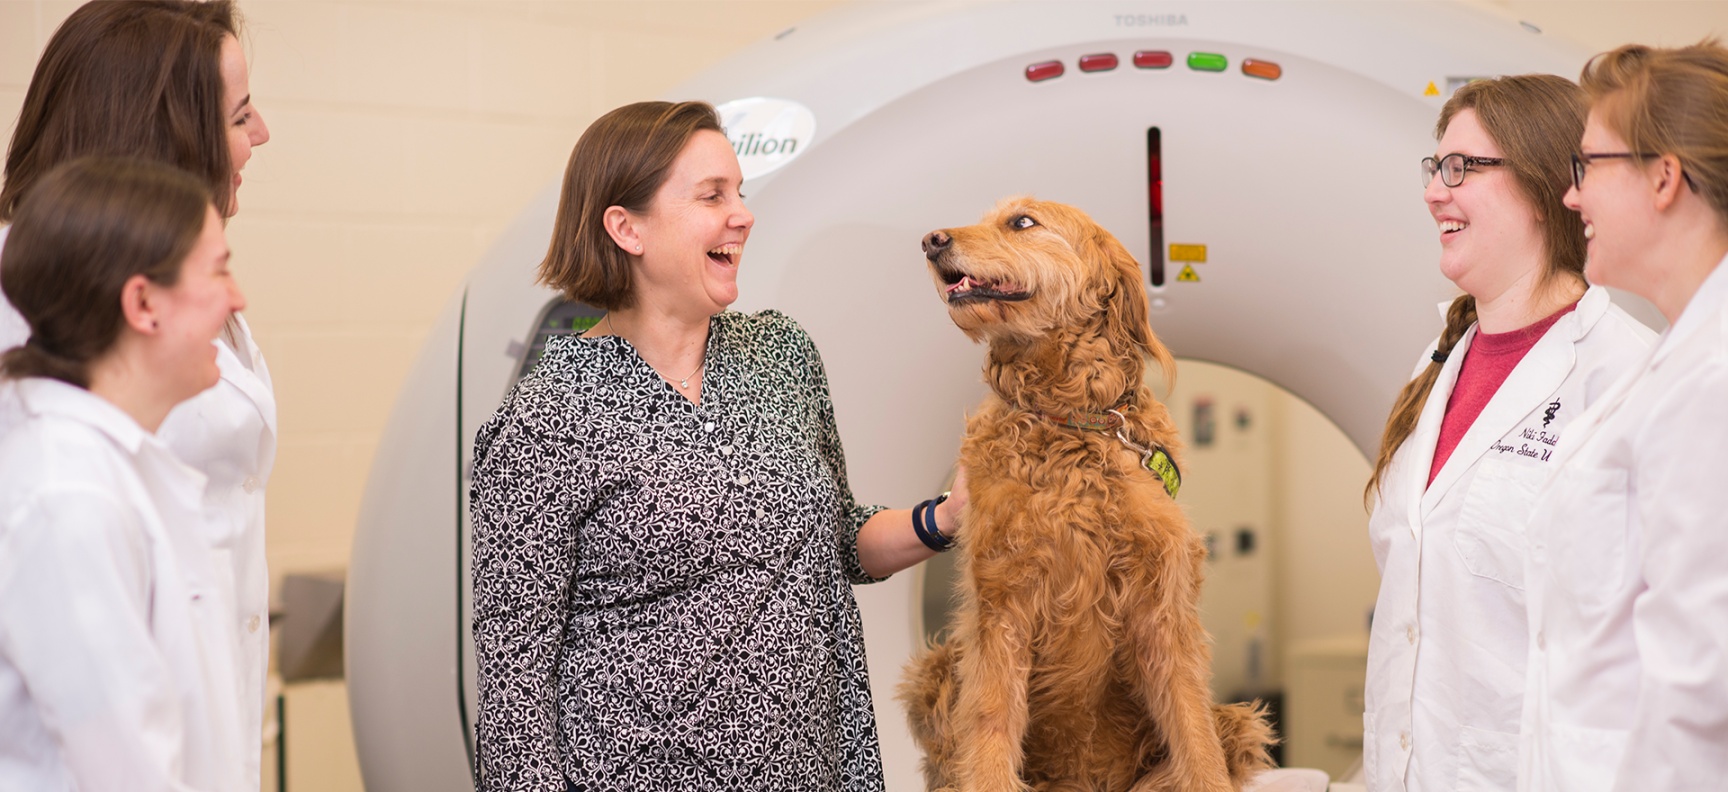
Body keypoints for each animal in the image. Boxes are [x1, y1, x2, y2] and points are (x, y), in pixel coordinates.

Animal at [898, 198, 1278, 792]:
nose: (931, 240)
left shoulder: (1162, 604)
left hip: (1238, 720)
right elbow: (990, 724)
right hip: (933, 668)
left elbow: (1193, 732)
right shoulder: (1000, 607)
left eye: (1022, 222)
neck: (1069, 420)